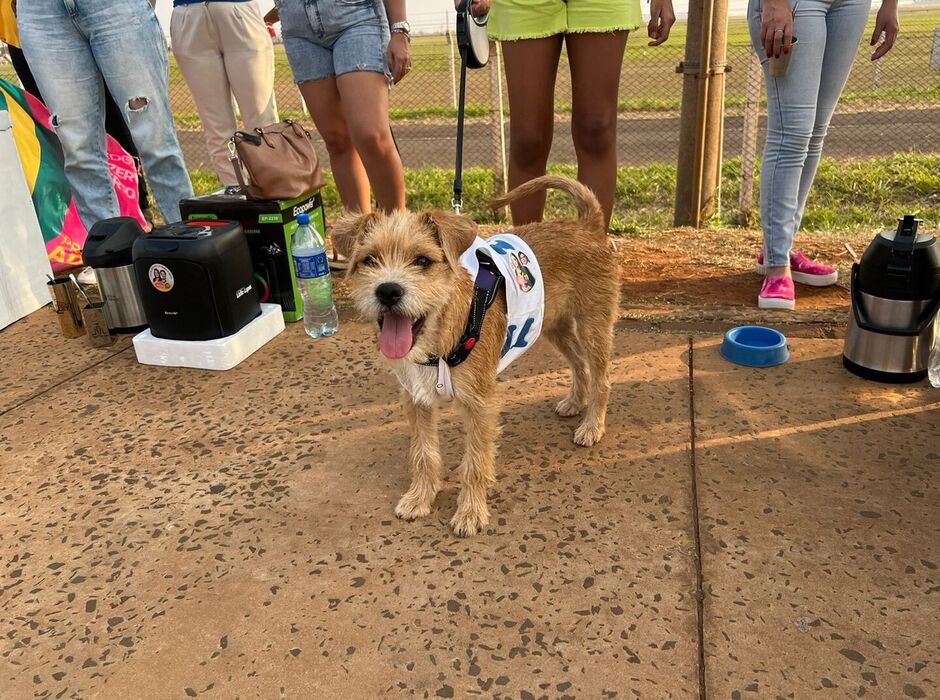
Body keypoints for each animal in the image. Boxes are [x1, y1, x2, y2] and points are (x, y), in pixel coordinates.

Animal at [334, 176, 620, 536]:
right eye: (369, 260)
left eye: (423, 261)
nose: (387, 290)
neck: (440, 335)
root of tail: (587, 226)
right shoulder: (417, 399)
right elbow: (423, 454)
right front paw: (420, 497)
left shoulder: (480, 406)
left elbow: (475, 462)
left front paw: (470, 512)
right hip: (553, 325)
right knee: (579, 363)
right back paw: (574, 403)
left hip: (593, 327)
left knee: (602, 378)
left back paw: (592, 425)